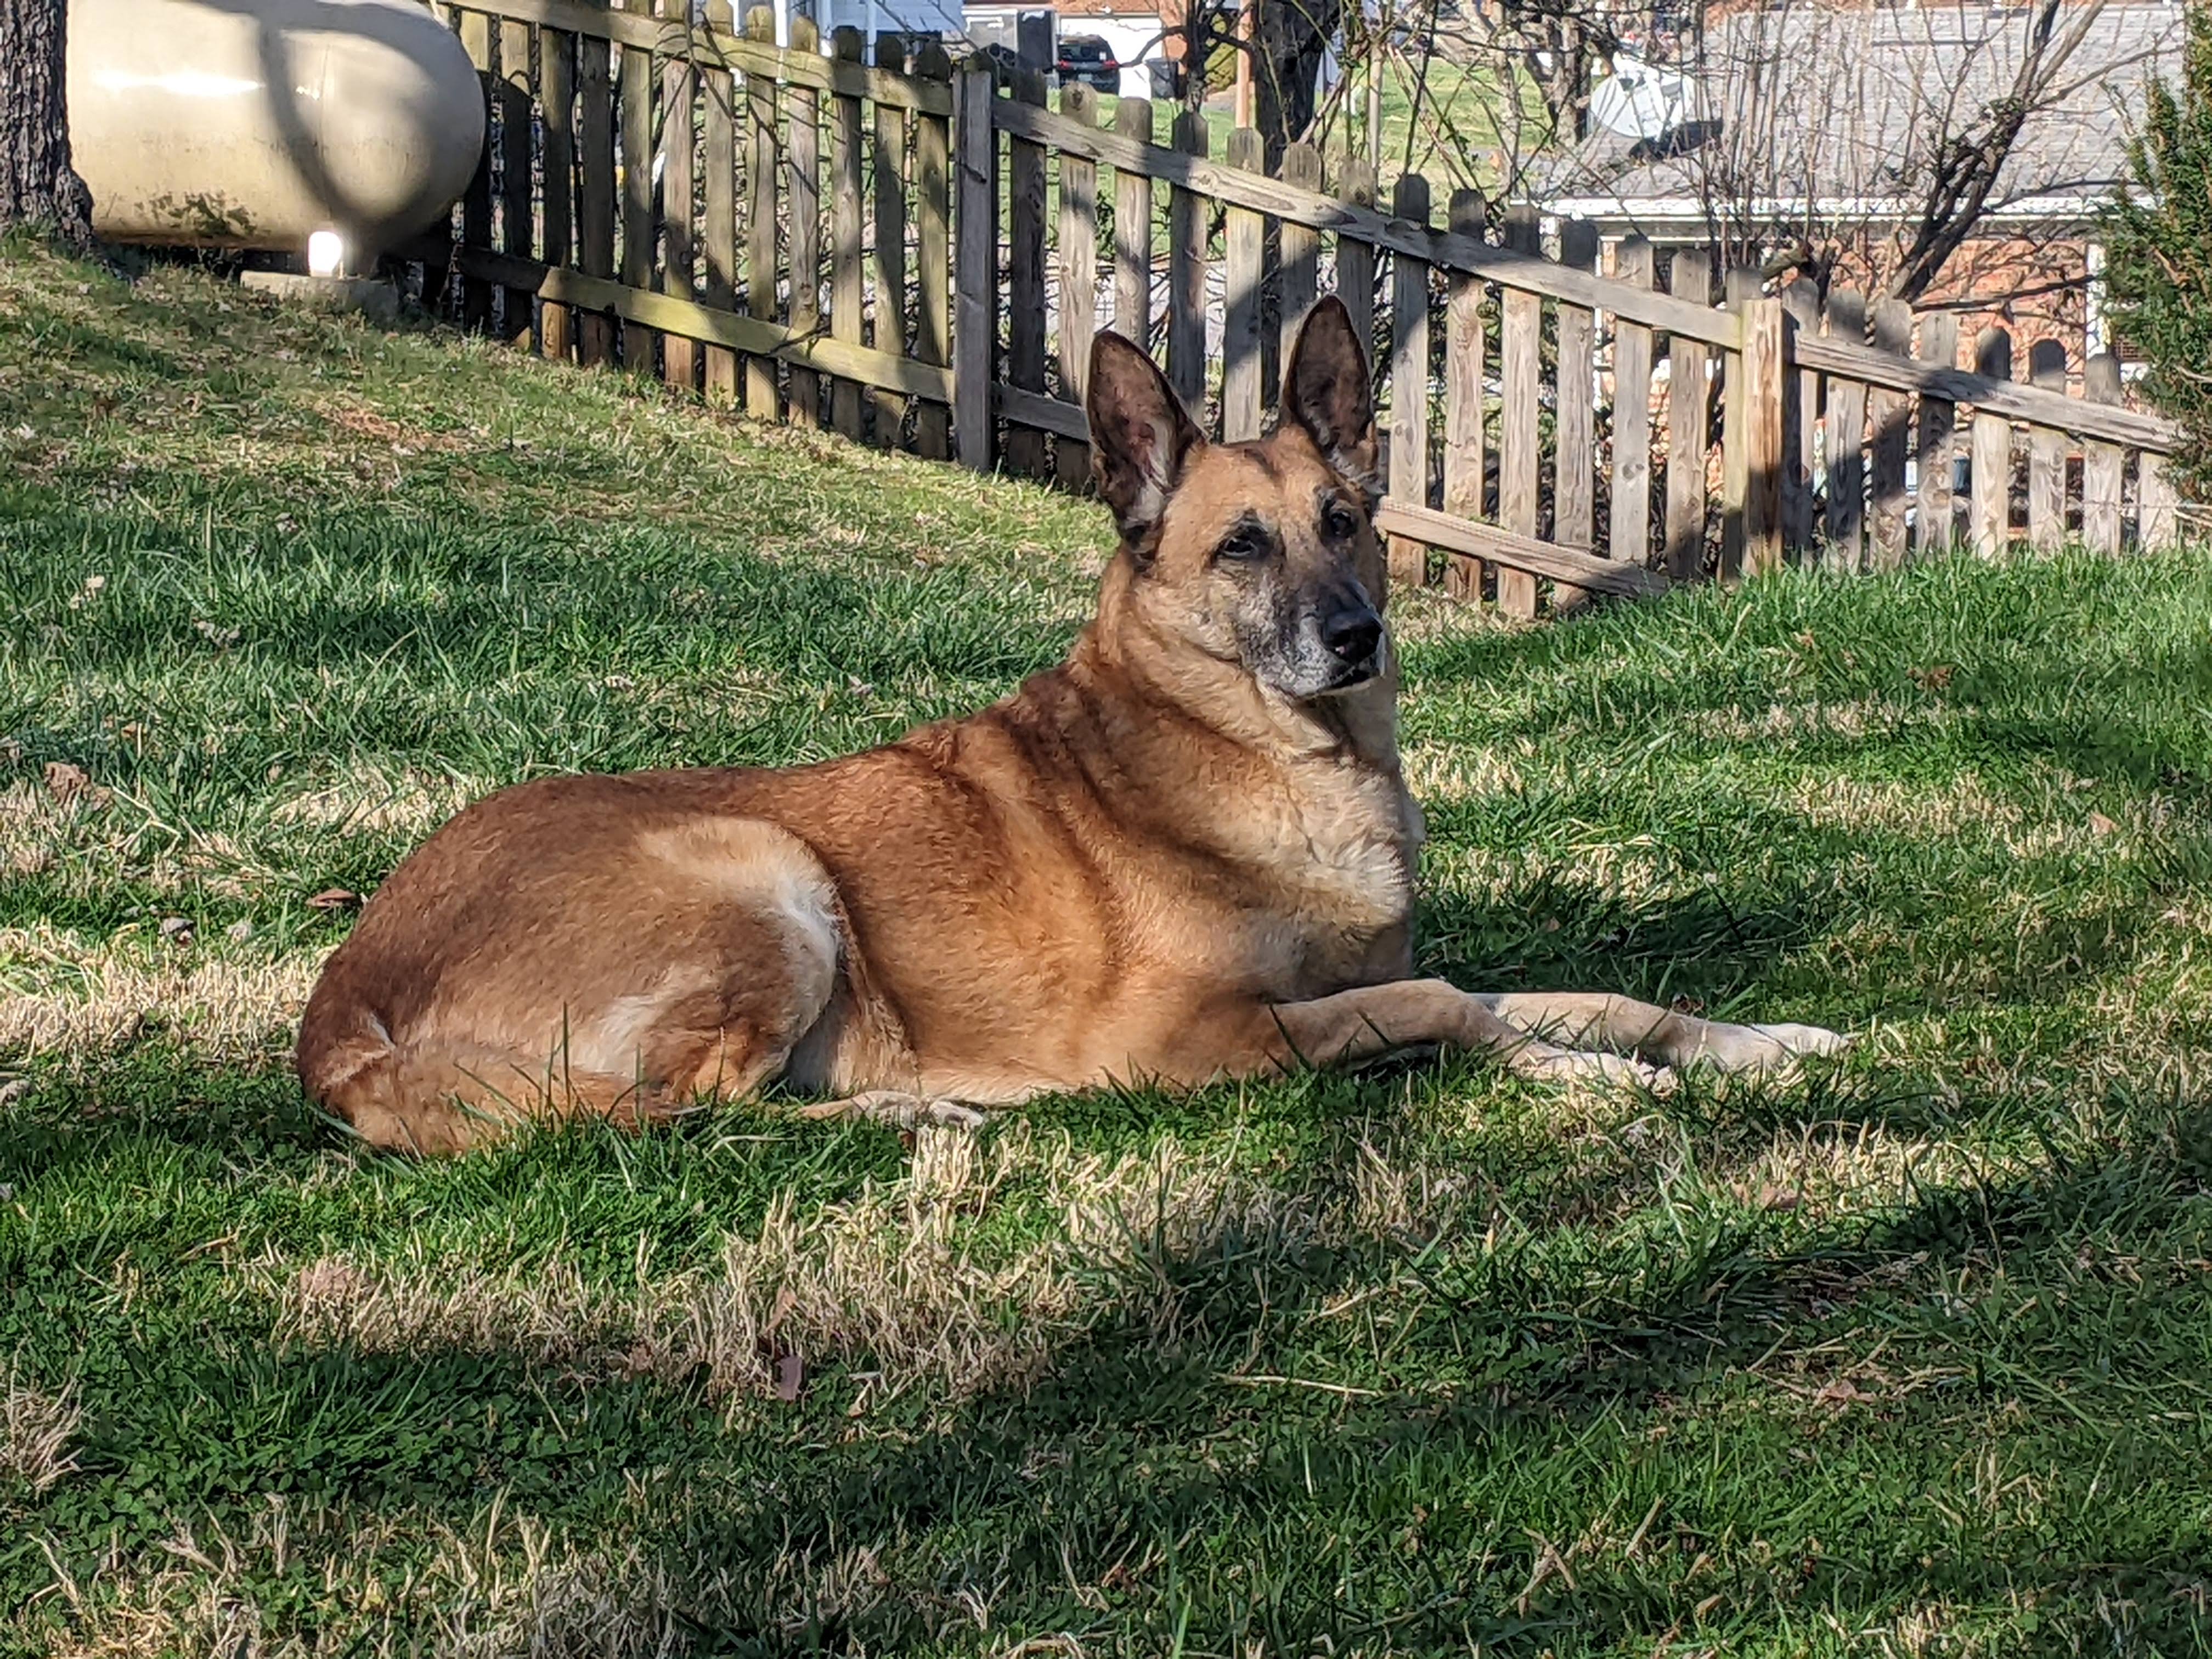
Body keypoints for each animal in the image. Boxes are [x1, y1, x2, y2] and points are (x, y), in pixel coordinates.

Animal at [298, 303, 1849, 1159]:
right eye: (1243, 547)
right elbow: (1445, 1007)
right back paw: (918, 1116)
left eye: (1344, 521)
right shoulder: (1193, 1041)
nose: (1357, 638)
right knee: (685, 1116)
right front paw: (1592, 1086)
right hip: (765, 875)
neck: (1271, 758)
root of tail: (340, 1012)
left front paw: (1747, 1042)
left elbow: (1568, 1001)